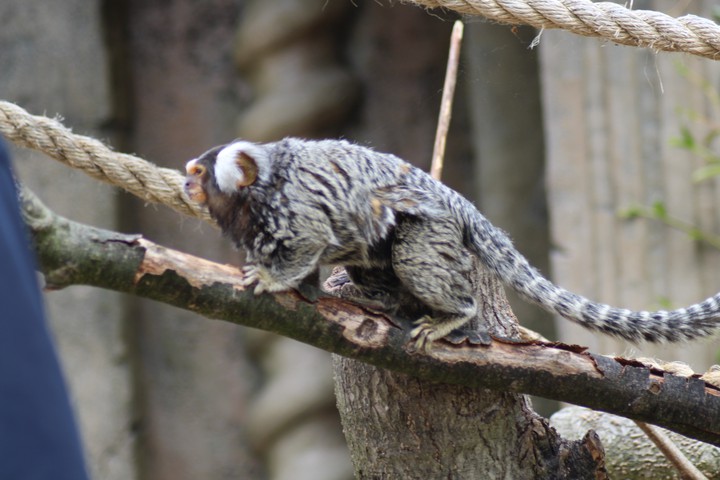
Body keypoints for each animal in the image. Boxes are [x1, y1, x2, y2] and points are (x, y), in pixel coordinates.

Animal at [184, 138, 720, 351]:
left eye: (199, 174)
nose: (186, 183)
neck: (258, 190)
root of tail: (456, 200)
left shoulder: (295, 210)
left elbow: (308, 242)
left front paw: (274, 279)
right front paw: (311, 289)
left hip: (430, 227)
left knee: (415, 260)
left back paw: (453, 315)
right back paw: (373, 297)